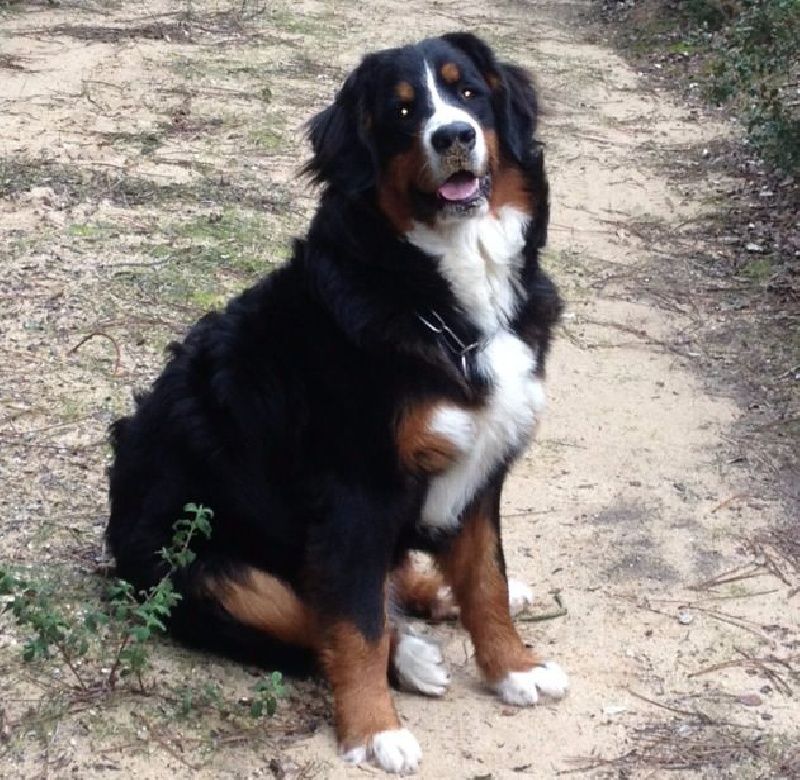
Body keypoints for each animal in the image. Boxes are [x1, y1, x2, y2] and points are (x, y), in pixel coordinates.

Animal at [108, 32, 568, 772]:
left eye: (467, 91)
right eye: (402, 112)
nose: (454, 135)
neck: (437, 294)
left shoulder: (481, 470)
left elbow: (486, 584)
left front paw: (514, 667)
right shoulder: (356, 491)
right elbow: (353, 625)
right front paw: (374, 730)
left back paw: (435, 601)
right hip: (206, 570)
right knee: (320, 615)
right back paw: (411, 657)